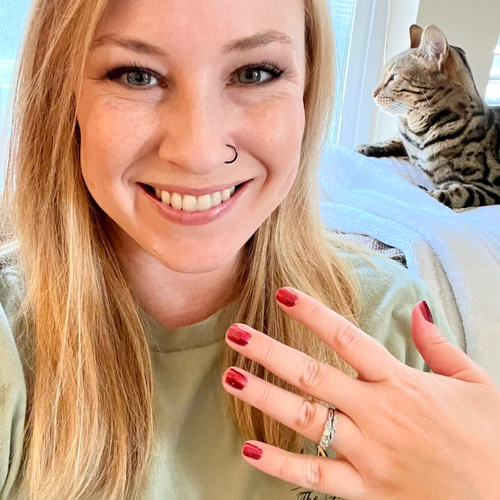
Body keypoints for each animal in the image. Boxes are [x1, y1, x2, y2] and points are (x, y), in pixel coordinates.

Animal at [356, 24, 500, 210]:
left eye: (393, 77)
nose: (372, 93)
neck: (419, 130)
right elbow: (397, 141)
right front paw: (372, 146)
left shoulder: (490, 187)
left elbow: (452, 194)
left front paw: (424, 193)